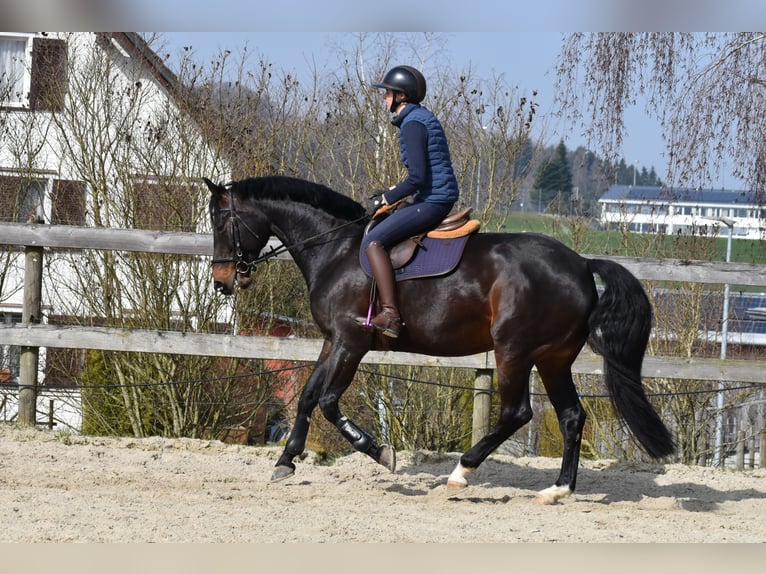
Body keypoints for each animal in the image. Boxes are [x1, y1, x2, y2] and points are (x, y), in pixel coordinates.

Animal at [204, 175, 674, 504]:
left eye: (222, 221)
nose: (223, 281)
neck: (336, 250)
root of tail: (580, 264)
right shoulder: (331, 341)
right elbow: (306, 397)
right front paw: (285, 460)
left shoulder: (351, 342)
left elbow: (329, 402)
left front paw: (380, 452)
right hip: (553, 358)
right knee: (572, 416)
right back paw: (557, 490)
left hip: (513, 351)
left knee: (517, 412)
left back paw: (461, 472)